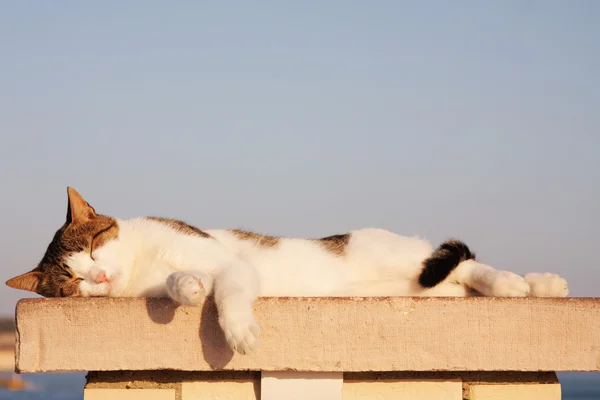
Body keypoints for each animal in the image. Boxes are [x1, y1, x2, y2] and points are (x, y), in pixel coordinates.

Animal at [4, 187, 568, 354]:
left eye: (94, 245)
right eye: (69, 281)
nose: (98, 277)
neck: (144, 263)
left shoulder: (229, 262)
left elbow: (230, 290)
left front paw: (238, 330)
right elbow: (182, 285)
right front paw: (187, 288)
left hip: (399, 257)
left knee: (468, 263)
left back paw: (520, 282)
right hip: (426, 289)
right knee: (457, 279)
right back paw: (539, 284)